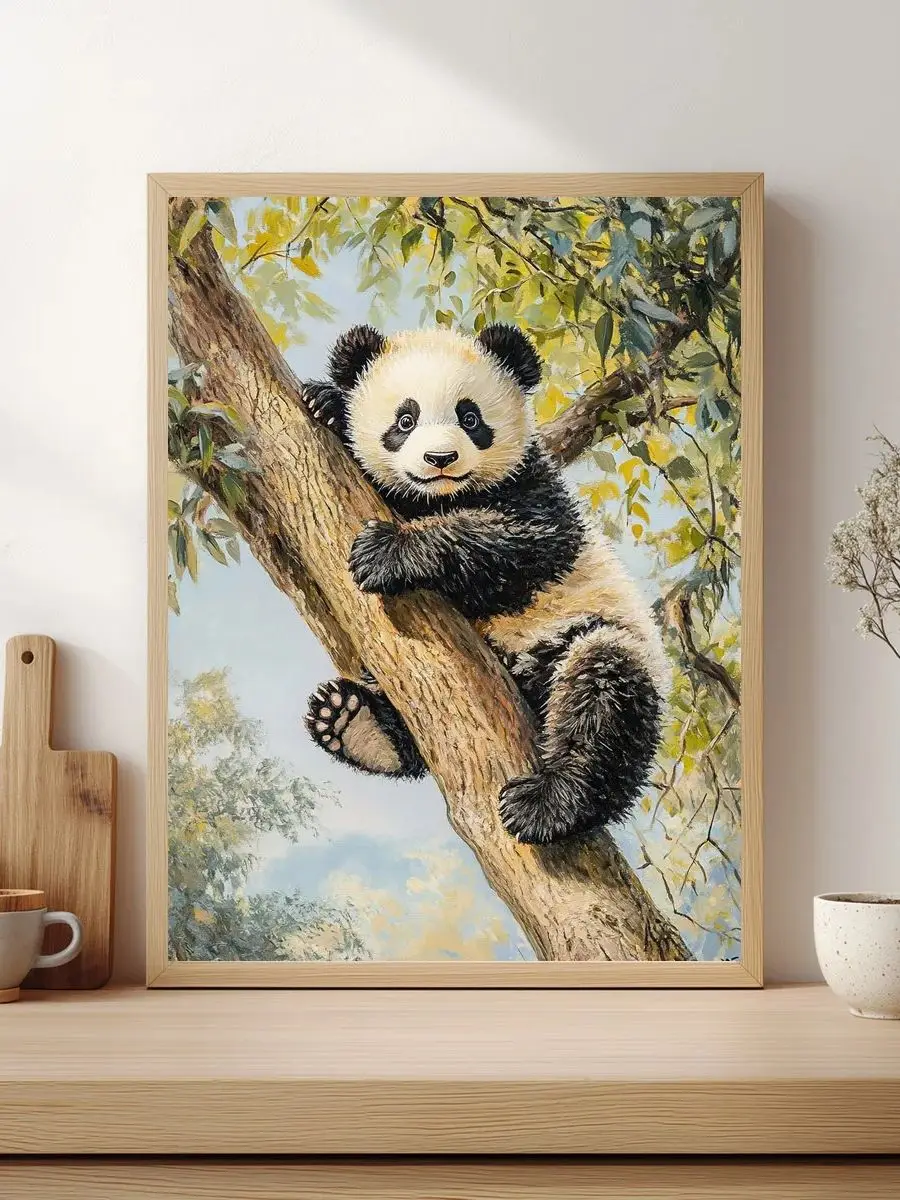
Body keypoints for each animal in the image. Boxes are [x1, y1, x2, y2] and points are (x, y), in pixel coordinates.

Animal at [301, 322, 667, 845]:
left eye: (470, 417)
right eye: (405, 420)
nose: (440, 458)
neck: (444, 497)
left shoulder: (536, 491)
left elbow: (521, 541)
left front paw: (388, 552)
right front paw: (327, 403)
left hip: (581, 635)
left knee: (603, 697)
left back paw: (548, 802)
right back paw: (352, 722)